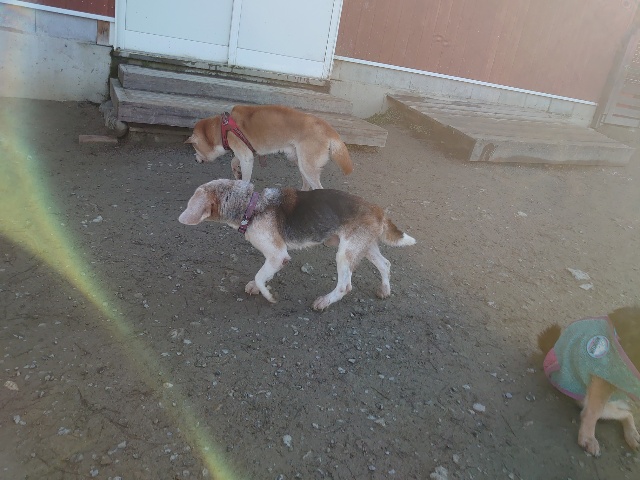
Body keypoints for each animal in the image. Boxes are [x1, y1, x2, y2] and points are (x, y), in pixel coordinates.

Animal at [178, 179, 416, 310]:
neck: (252, 207)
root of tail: (378, 209)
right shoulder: (274, 259)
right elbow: (263, 274)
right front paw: (257, 287)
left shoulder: (278, 255)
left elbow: (260, 276)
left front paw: (268, 295)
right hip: (363, 247)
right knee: (385, 264)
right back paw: (385, 290)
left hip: (345, 253)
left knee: (345, 286)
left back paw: (324, 301)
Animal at [185, 105, 353, 190]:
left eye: (195, 148)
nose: (195, 159)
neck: (223, 128)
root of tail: (328, 128)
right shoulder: (245, 153)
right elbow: (233, 162)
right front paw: (237, 173)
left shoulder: (246, 157)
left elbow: (245, 178)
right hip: (299, 161)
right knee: (306, 184)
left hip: (308, 166)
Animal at [538, 306, 640, 456]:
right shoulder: (604, 375)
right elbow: (592, 413)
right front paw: (588, 438)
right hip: (589, 400)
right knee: (622, 413)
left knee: (626, 413)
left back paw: (633, 435)